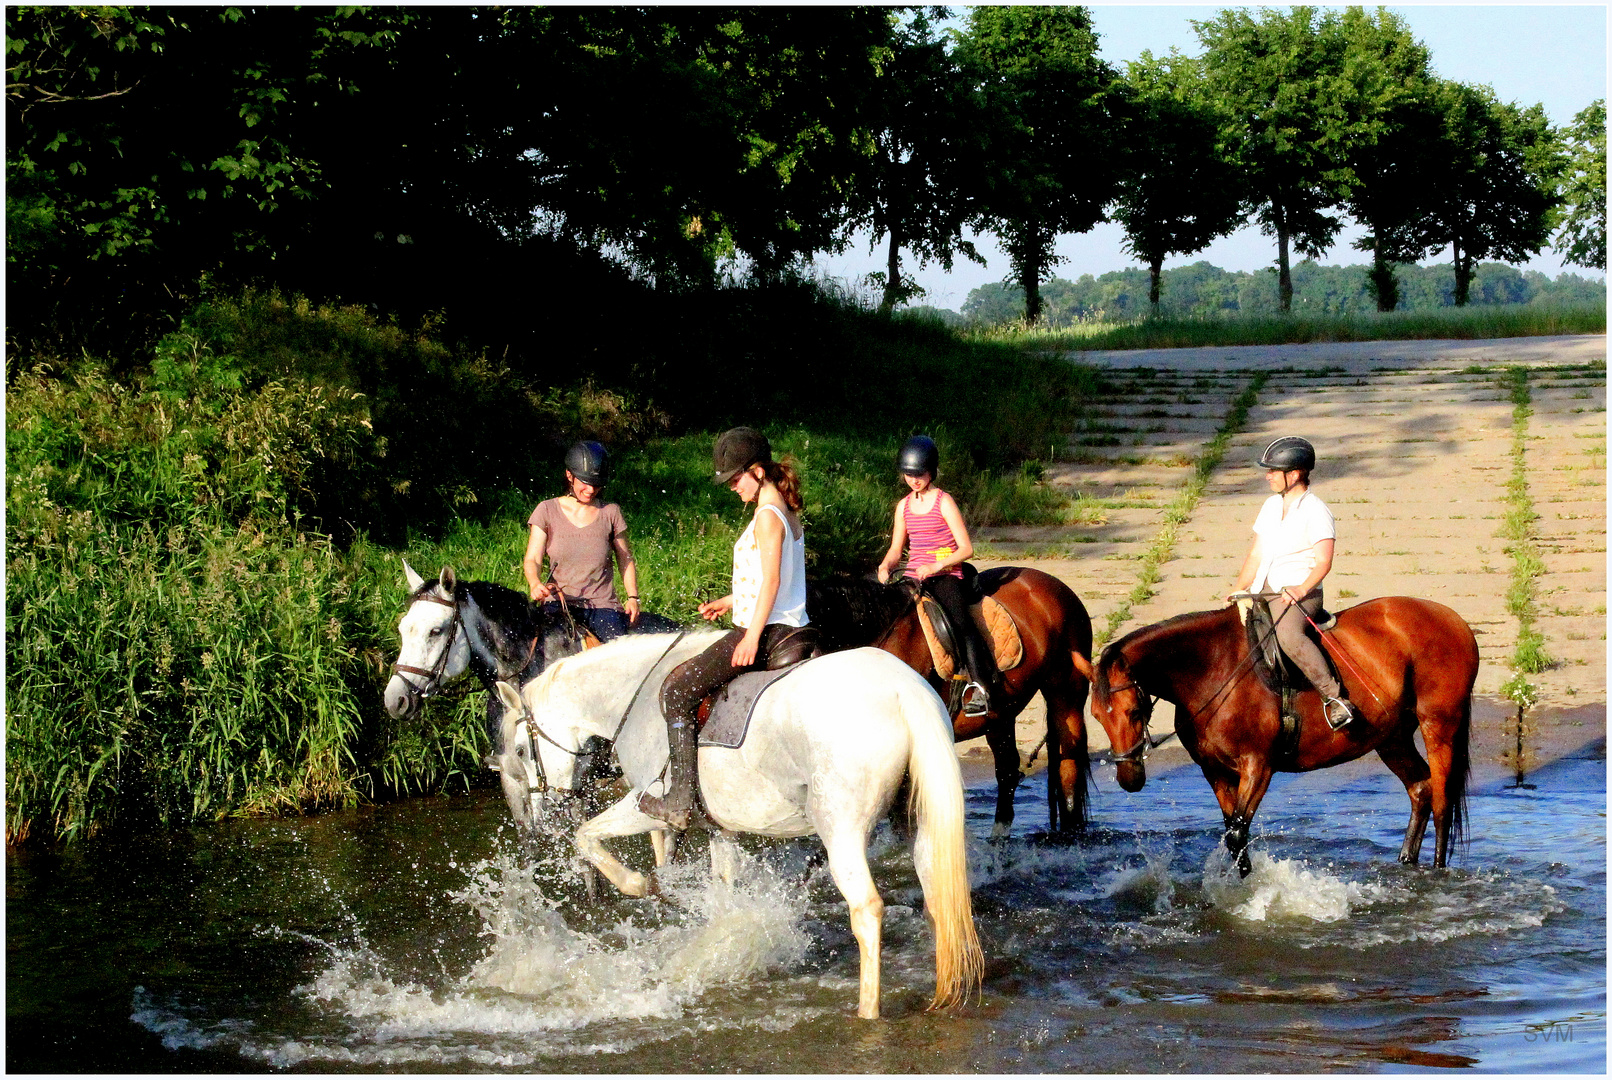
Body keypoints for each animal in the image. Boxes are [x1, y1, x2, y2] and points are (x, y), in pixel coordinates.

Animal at [493, 631, 980, 1018]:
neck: (634, 694)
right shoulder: (719, 829)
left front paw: (642, 884)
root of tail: (903, 690)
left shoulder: (644, 803)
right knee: (938, 899)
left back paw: (867, 1012)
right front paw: (722, 949)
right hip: (919, 825)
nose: (539, 820)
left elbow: (587, 836)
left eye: (519, 751)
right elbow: (724, 895)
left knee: (867, 911)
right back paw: (944, 993)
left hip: (840, 833)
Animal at [1076, 596, 1476, 883]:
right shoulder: (1216, 771)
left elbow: (1237, 834)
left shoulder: (1258, 765)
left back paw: (1437, 873)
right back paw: (1406, 862)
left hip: (1439, 724)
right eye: (1095, 716)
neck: (1212, 668)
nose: (1129, 779)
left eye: (1133, 711)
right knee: (1421, 790)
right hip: (1391, 735)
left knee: (1442, 801)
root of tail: (1455, 621)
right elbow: (1233, 832)